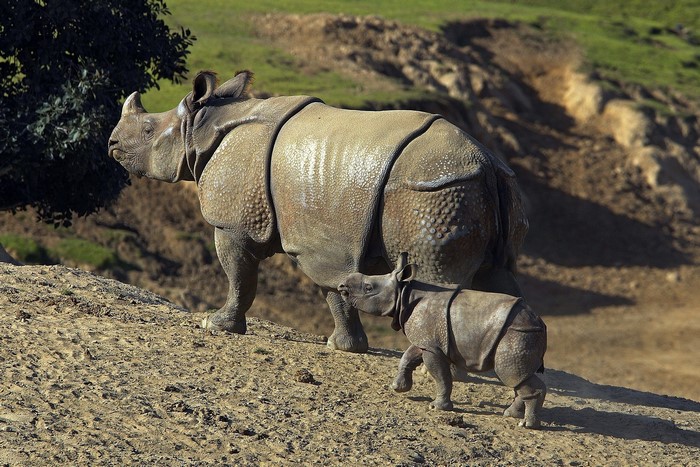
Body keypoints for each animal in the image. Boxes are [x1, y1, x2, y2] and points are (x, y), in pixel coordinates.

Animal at [108, 70, 528, 353]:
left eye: (148, 130)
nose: (111, 143)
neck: (202, 127)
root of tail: (485, 163)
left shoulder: (236, 222)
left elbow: (238, 274)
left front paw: (215, 324)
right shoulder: (323, 238)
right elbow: (336, 289)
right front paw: (344, 346)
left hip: (433, 192)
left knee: (437, 276)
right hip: (482, 189)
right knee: (500, 276)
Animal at [338, 254, 547, 428]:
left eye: (368, 288)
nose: (342, 287)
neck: (404, 293)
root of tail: (540, 323)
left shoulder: (432, 346)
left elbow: (440, 375)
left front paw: (437, 407)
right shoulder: (426, 340)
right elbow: (408, 356)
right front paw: (398, 388)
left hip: (517, 334)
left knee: (510, 373)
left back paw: (526, 425)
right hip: (521, 333)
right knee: (518, 378)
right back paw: (511, 415)